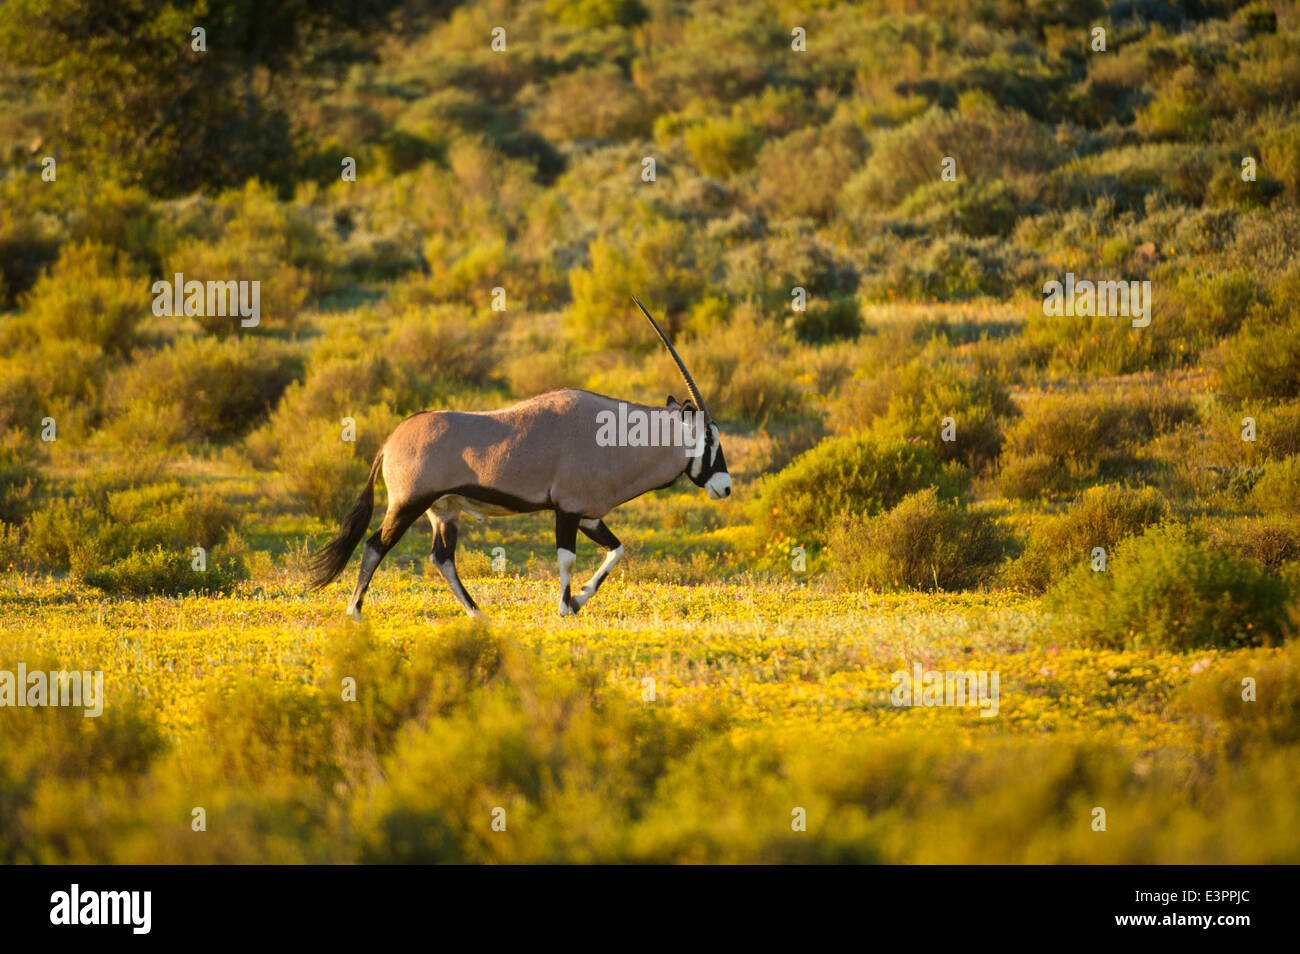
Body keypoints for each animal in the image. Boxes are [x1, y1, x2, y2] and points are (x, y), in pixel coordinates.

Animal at [305, 298, 733, 621]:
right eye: (709, 437)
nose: (726, 487)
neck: (613, 435)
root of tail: (391, 439)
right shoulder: (567, 510)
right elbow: (567, 559)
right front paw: (565, 607)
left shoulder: (590, 515)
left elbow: (616, 550)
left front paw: (578, 600)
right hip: (409, 503)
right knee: (376, 544)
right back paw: (355, 612)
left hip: (443, 510)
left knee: (442, 557)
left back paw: (478, 614)